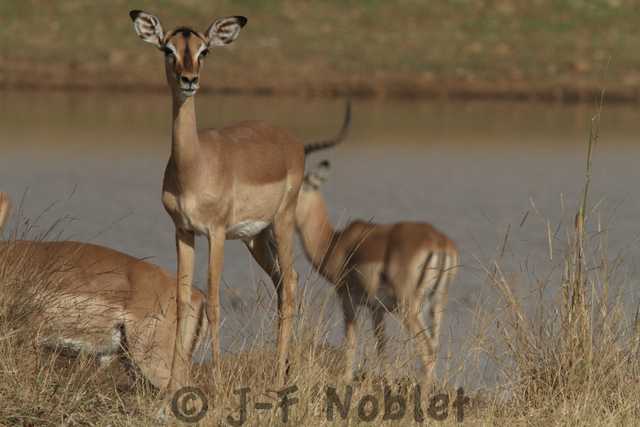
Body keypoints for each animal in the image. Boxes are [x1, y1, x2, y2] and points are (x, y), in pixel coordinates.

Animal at [129, 10, 350, 388]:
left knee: (289, 286)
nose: (189, 80)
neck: (195, 165)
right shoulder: (183, 231)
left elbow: (215, 301)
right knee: (286, 280)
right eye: (168, 50)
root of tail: (290, 140)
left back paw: (278, 377)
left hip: (282, 222)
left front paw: (217, 381)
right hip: (255, 238)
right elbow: (182, 301)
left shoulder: (216, 233)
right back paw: (283, 369)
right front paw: (173, 385)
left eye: (204, 51)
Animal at [295, 162, 459, 385]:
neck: (334, 243)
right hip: (436, 304)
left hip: (409, 308)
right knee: (434, 346)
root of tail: (440, 242)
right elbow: (382, 347)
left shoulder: (348, 299)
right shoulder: (377, 309)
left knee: (427, 350)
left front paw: (346, 381)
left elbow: (351, 342)